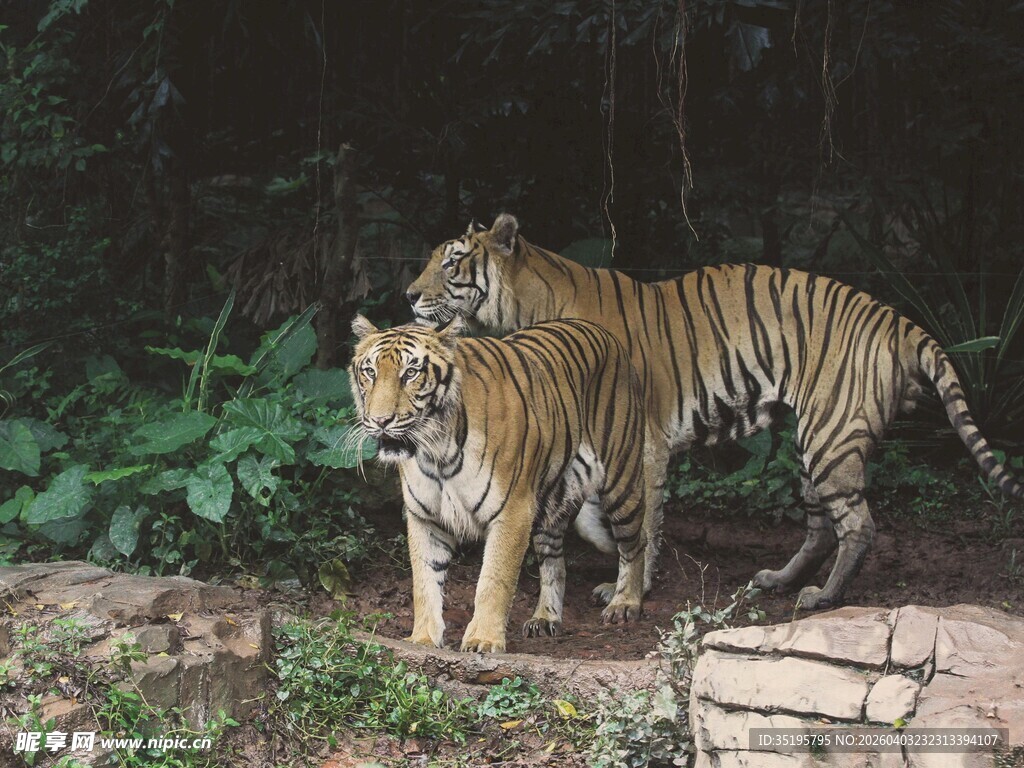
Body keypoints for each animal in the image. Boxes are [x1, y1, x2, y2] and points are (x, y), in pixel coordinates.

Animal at [348, 314, 649, 653]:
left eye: (411, 373)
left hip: (621, 481)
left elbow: (494, 580)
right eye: (370, 372)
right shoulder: (425, 517)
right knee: (554, 561)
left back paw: (624, 603)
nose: (380, 421)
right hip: (551, 502)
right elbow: (425, 582)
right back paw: (545, 617)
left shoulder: (512, 512)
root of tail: (597, 328)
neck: (436, 450)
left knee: (635, 542)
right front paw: (423, 639)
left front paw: (483, 639)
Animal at [405, 213, 1024, 611]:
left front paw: (631, 586)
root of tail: (898, 320)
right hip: (810, 443)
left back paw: (823, 597)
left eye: (452, 263)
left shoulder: (640, 442)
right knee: (821, 524)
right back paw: (778, 580)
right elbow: (590, 516)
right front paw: (612, 557)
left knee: (858, 525)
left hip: (830, 437)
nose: (409, 295)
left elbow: (642, 519)